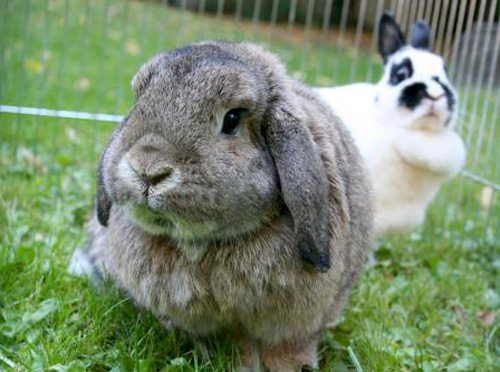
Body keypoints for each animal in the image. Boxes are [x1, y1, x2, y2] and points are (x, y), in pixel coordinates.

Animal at [69, 42, 372, 370]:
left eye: (232, 119)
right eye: (139, 103)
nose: (148, 169)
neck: (204, 245)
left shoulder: (297, 322)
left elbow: (286, 347)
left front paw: (292, 366)